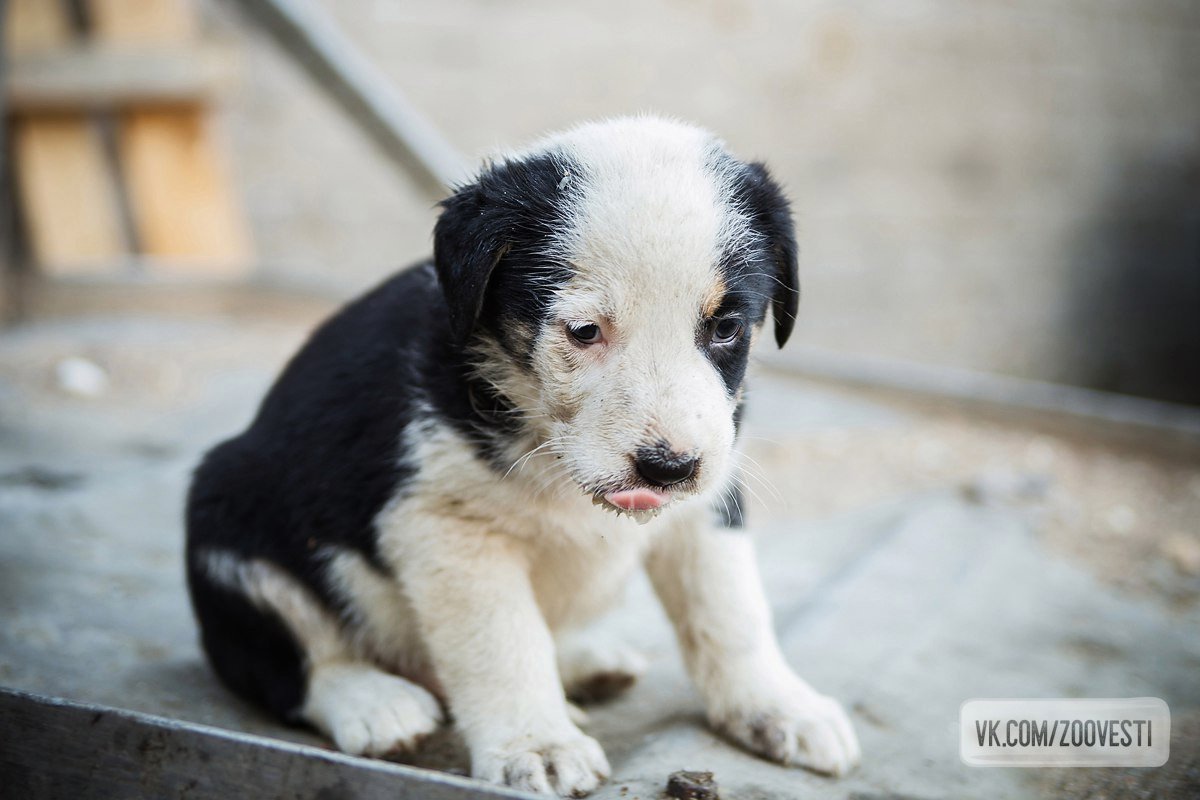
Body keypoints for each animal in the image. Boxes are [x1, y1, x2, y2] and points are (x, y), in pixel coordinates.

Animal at [185, 116, 860, 796]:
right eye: (584, 331)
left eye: (725, 327)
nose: (667, 469)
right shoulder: (448, 528)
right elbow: (503, 643)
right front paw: (538, 744)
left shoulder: (709, 497)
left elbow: (730, 609)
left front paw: (778, 706)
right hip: (229, 523)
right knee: (284, 663)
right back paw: (372, 701)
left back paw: (585, 662)